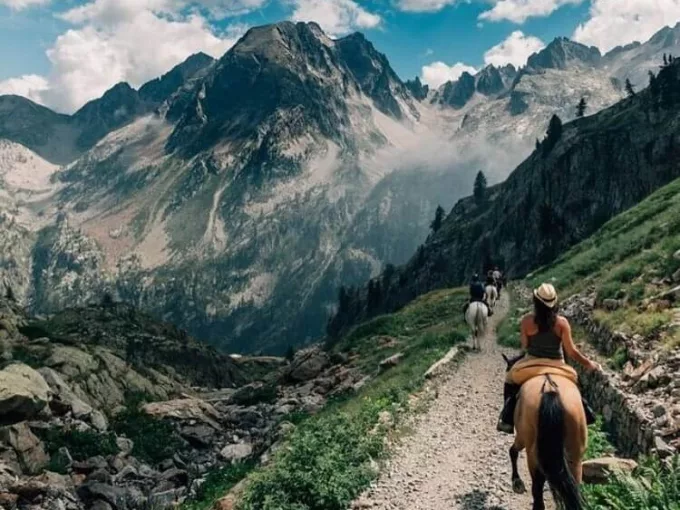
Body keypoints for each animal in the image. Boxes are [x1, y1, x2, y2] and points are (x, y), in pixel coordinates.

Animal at [502, 354, 588, 510]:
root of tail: (549, 389)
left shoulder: (522, 437)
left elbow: (512, 451)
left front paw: (516, 481)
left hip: (531, 449)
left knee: (537, 488)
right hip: (575, 451)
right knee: (574, 485)